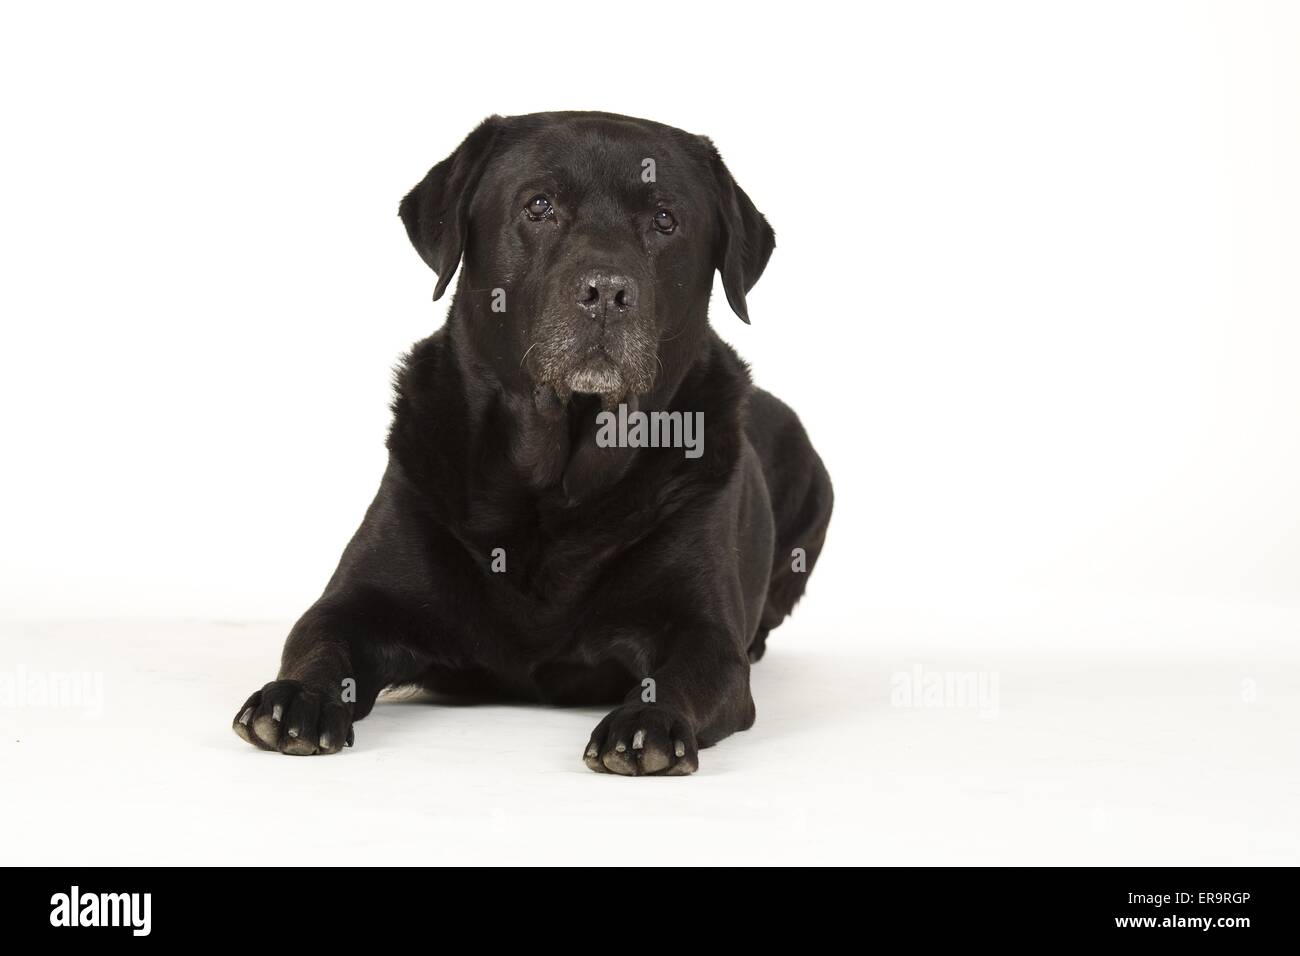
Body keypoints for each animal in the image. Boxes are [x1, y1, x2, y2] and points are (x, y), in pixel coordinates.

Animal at [233, 111, 832, 775]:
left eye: (664, 220)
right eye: (540, 206)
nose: (606, 292)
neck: (554, 482)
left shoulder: (703, 632)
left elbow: (684, 672)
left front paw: (647, 724)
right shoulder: (356, 599)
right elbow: (319, 640)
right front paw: (297, 698)